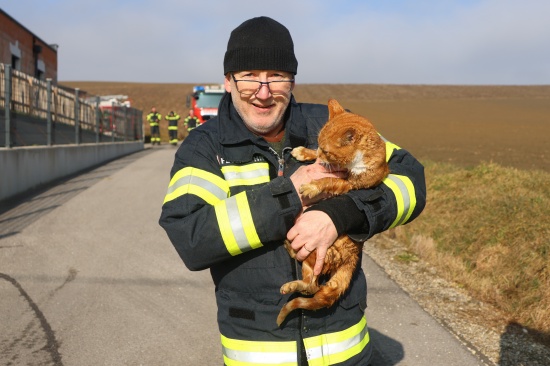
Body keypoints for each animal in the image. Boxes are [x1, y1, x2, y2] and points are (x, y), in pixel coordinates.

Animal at [278, 98, 390, 326]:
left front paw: (312, 186)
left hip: (320, 252)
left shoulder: (351, 184)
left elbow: (329, 180)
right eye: (319, 143)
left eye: (328, 150)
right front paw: (305, 152)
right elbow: (317, 160)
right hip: (310, 263)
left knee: (314, 285)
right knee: (311, 285)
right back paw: (292, 280)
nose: (322, 155)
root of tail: (352, 259)